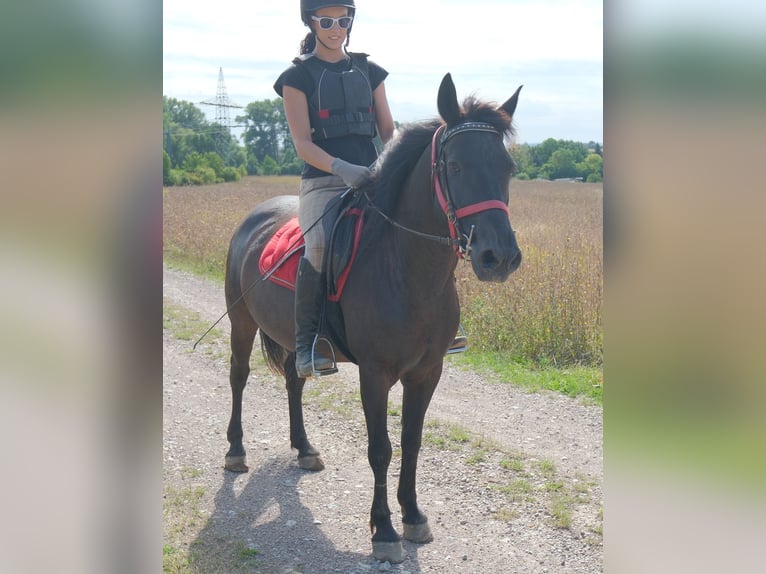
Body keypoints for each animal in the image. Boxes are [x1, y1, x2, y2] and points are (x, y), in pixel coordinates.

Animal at [222, 73, 522, 563]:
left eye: (508, 167)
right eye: (455, 165)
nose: (499, 257)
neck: (407, 270)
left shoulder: (427, 372)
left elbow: (412, 442)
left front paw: (414, 516)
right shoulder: (375, 373)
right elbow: (380, 449)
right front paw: (383, 530)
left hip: (293, 338)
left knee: (294, 379)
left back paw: (304, 448)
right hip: (242, 323)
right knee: (238, 377)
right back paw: (234, 451)